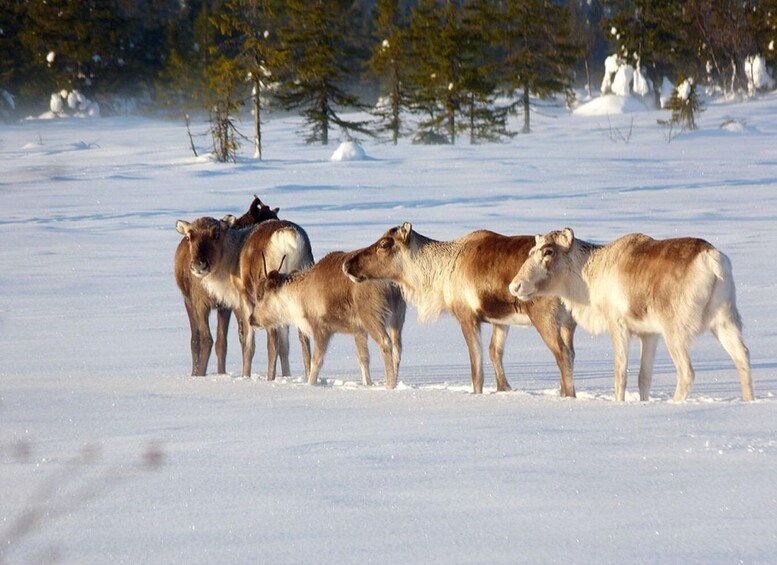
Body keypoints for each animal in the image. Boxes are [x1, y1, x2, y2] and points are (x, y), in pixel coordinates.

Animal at [174, 195, 278, 376]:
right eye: (189, 237)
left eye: (216, 235)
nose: (199, 264)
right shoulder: (199, 302)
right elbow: (206, 339)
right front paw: (202, 374)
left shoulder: (226, 304)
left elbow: (224, 342)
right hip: (190, 300)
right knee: (197, 339)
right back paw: (196, 372)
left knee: (217, 341)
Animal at [175, 213, 313, 379]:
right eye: (189, 237)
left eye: (216, 234)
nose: (199, 265)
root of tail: (288, 237)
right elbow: (285, 345)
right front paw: (286, 375)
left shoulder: (243, 297)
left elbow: (248, 343)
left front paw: (245, 376)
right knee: (303, 337)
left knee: (272, 341)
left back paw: (270, 378)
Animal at [247, 251, 406, 389]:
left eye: (260, 295)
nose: (251, 319)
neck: (298, 300)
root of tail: (392, 284)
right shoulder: (358, 330)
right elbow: (363, 358)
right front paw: (368, 384)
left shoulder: (321, 328)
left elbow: (316, 361)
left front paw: (311, 384)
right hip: (398, 317)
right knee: (397, 349)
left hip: (372, 315)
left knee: (385, 343)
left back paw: (390, 385)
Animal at [342, 223, 576, 396]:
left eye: (384, 243)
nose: (347, 263)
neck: (438, 275)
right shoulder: (500, 319)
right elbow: (495, 353)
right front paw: (504, 390)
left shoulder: (467, 316)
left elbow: (477, 370)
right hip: (568, 321)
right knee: (571, 353)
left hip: (544, 316)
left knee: (562, 354)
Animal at [508, 228, 754, 402]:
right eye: (531, 252)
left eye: (548, 252)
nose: (515, 286)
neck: (589, 275)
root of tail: (713, 261)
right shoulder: (649, 334)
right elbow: (643, 377)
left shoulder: (618, 325)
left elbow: (621, 374)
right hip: (724, 321)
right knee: (742, 356)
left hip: (675, 331)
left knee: (686, 372)